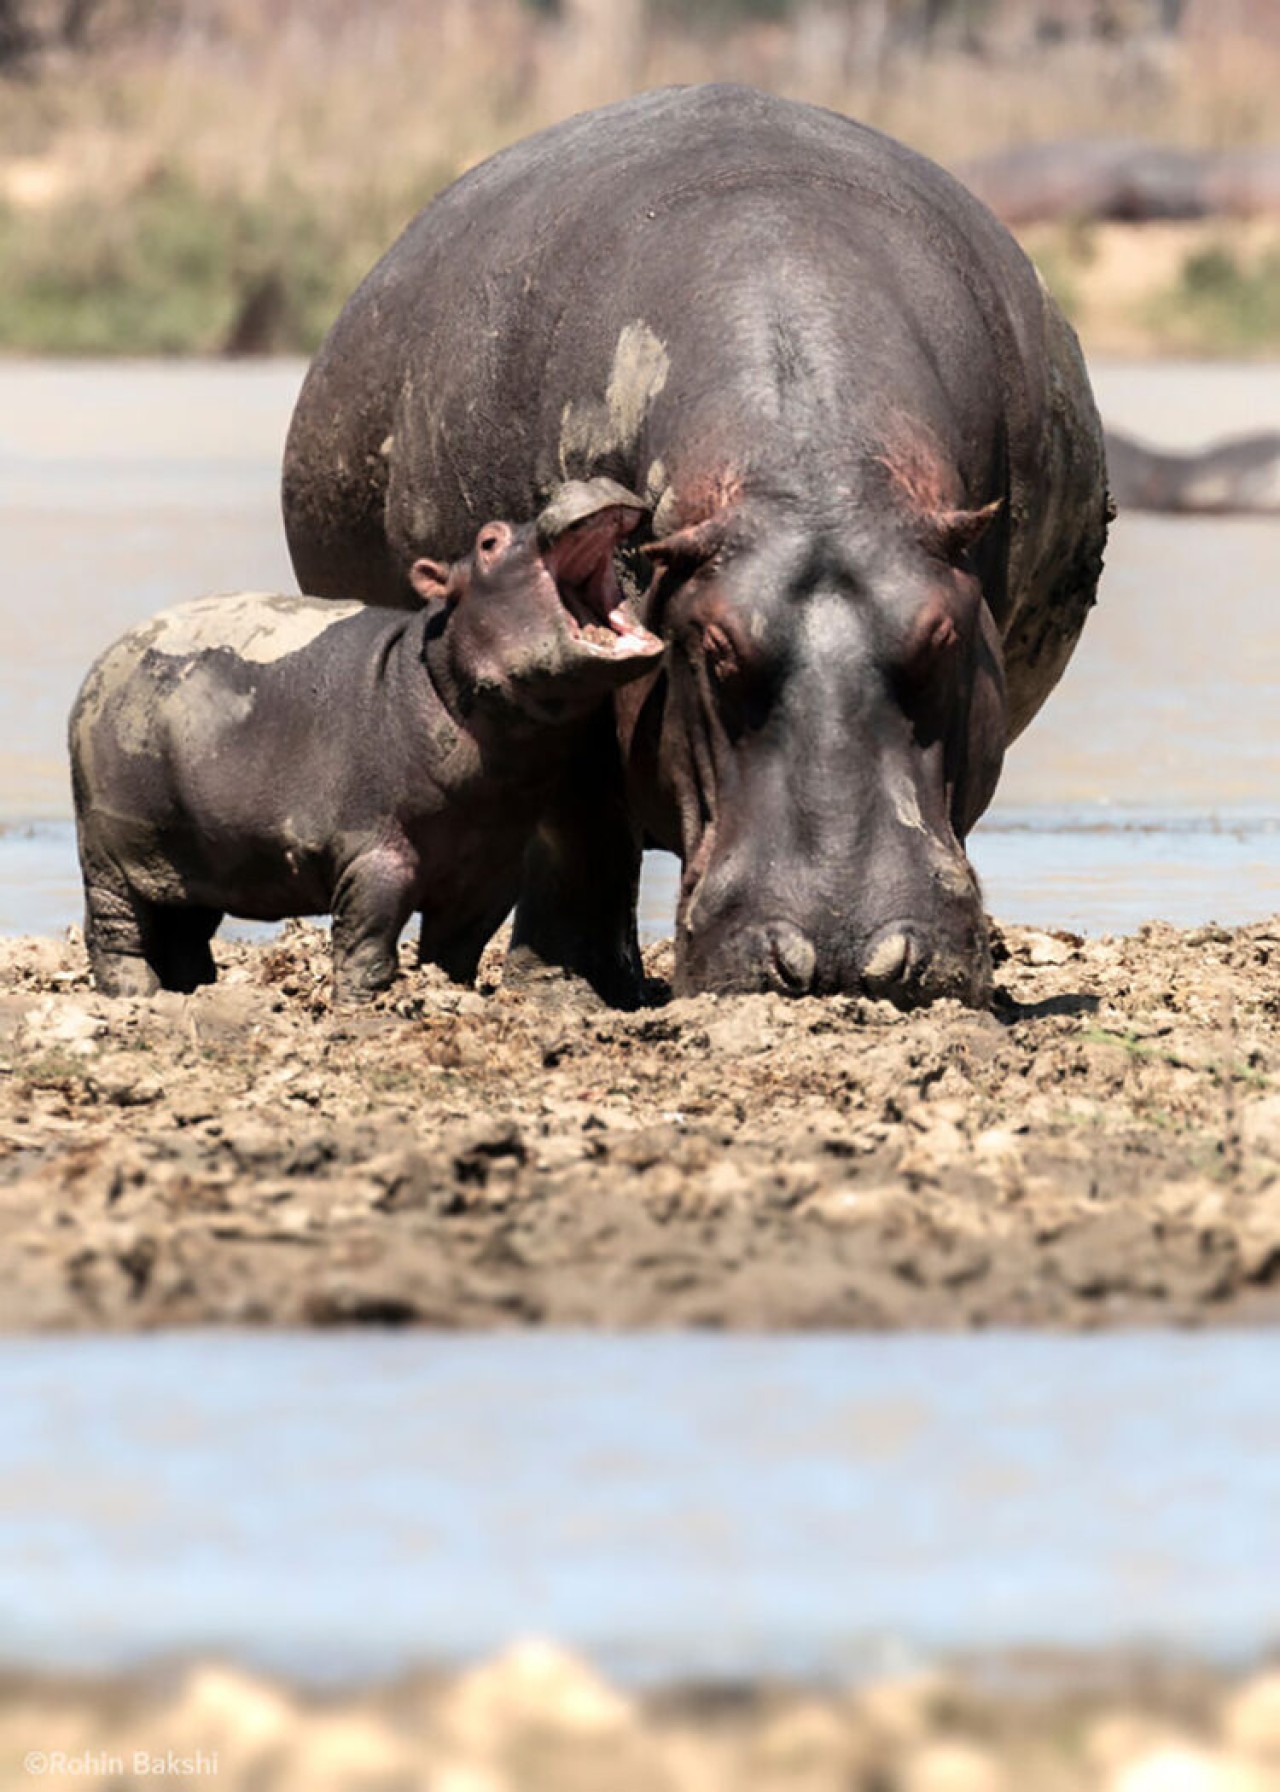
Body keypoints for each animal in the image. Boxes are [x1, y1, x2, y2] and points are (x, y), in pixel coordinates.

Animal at [69, 476, 659, 1003]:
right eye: (488, 541)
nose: (583, 481)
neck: (434, 672)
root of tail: (103, 661)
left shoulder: (490, 869)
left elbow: (457, 949)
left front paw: (449, 991)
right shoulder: (375, 851)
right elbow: (367, 939)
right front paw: (362, 1005)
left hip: (192, 857)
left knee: (182, 931)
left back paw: (192, 990)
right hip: (111, 851)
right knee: (117, 933)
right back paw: (134, 997)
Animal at [281, 84, 1104, 1010]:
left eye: (943, 637)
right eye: (713, 650)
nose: (845, 955)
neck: (809, 481)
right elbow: (578, 821)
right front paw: (564, 987)